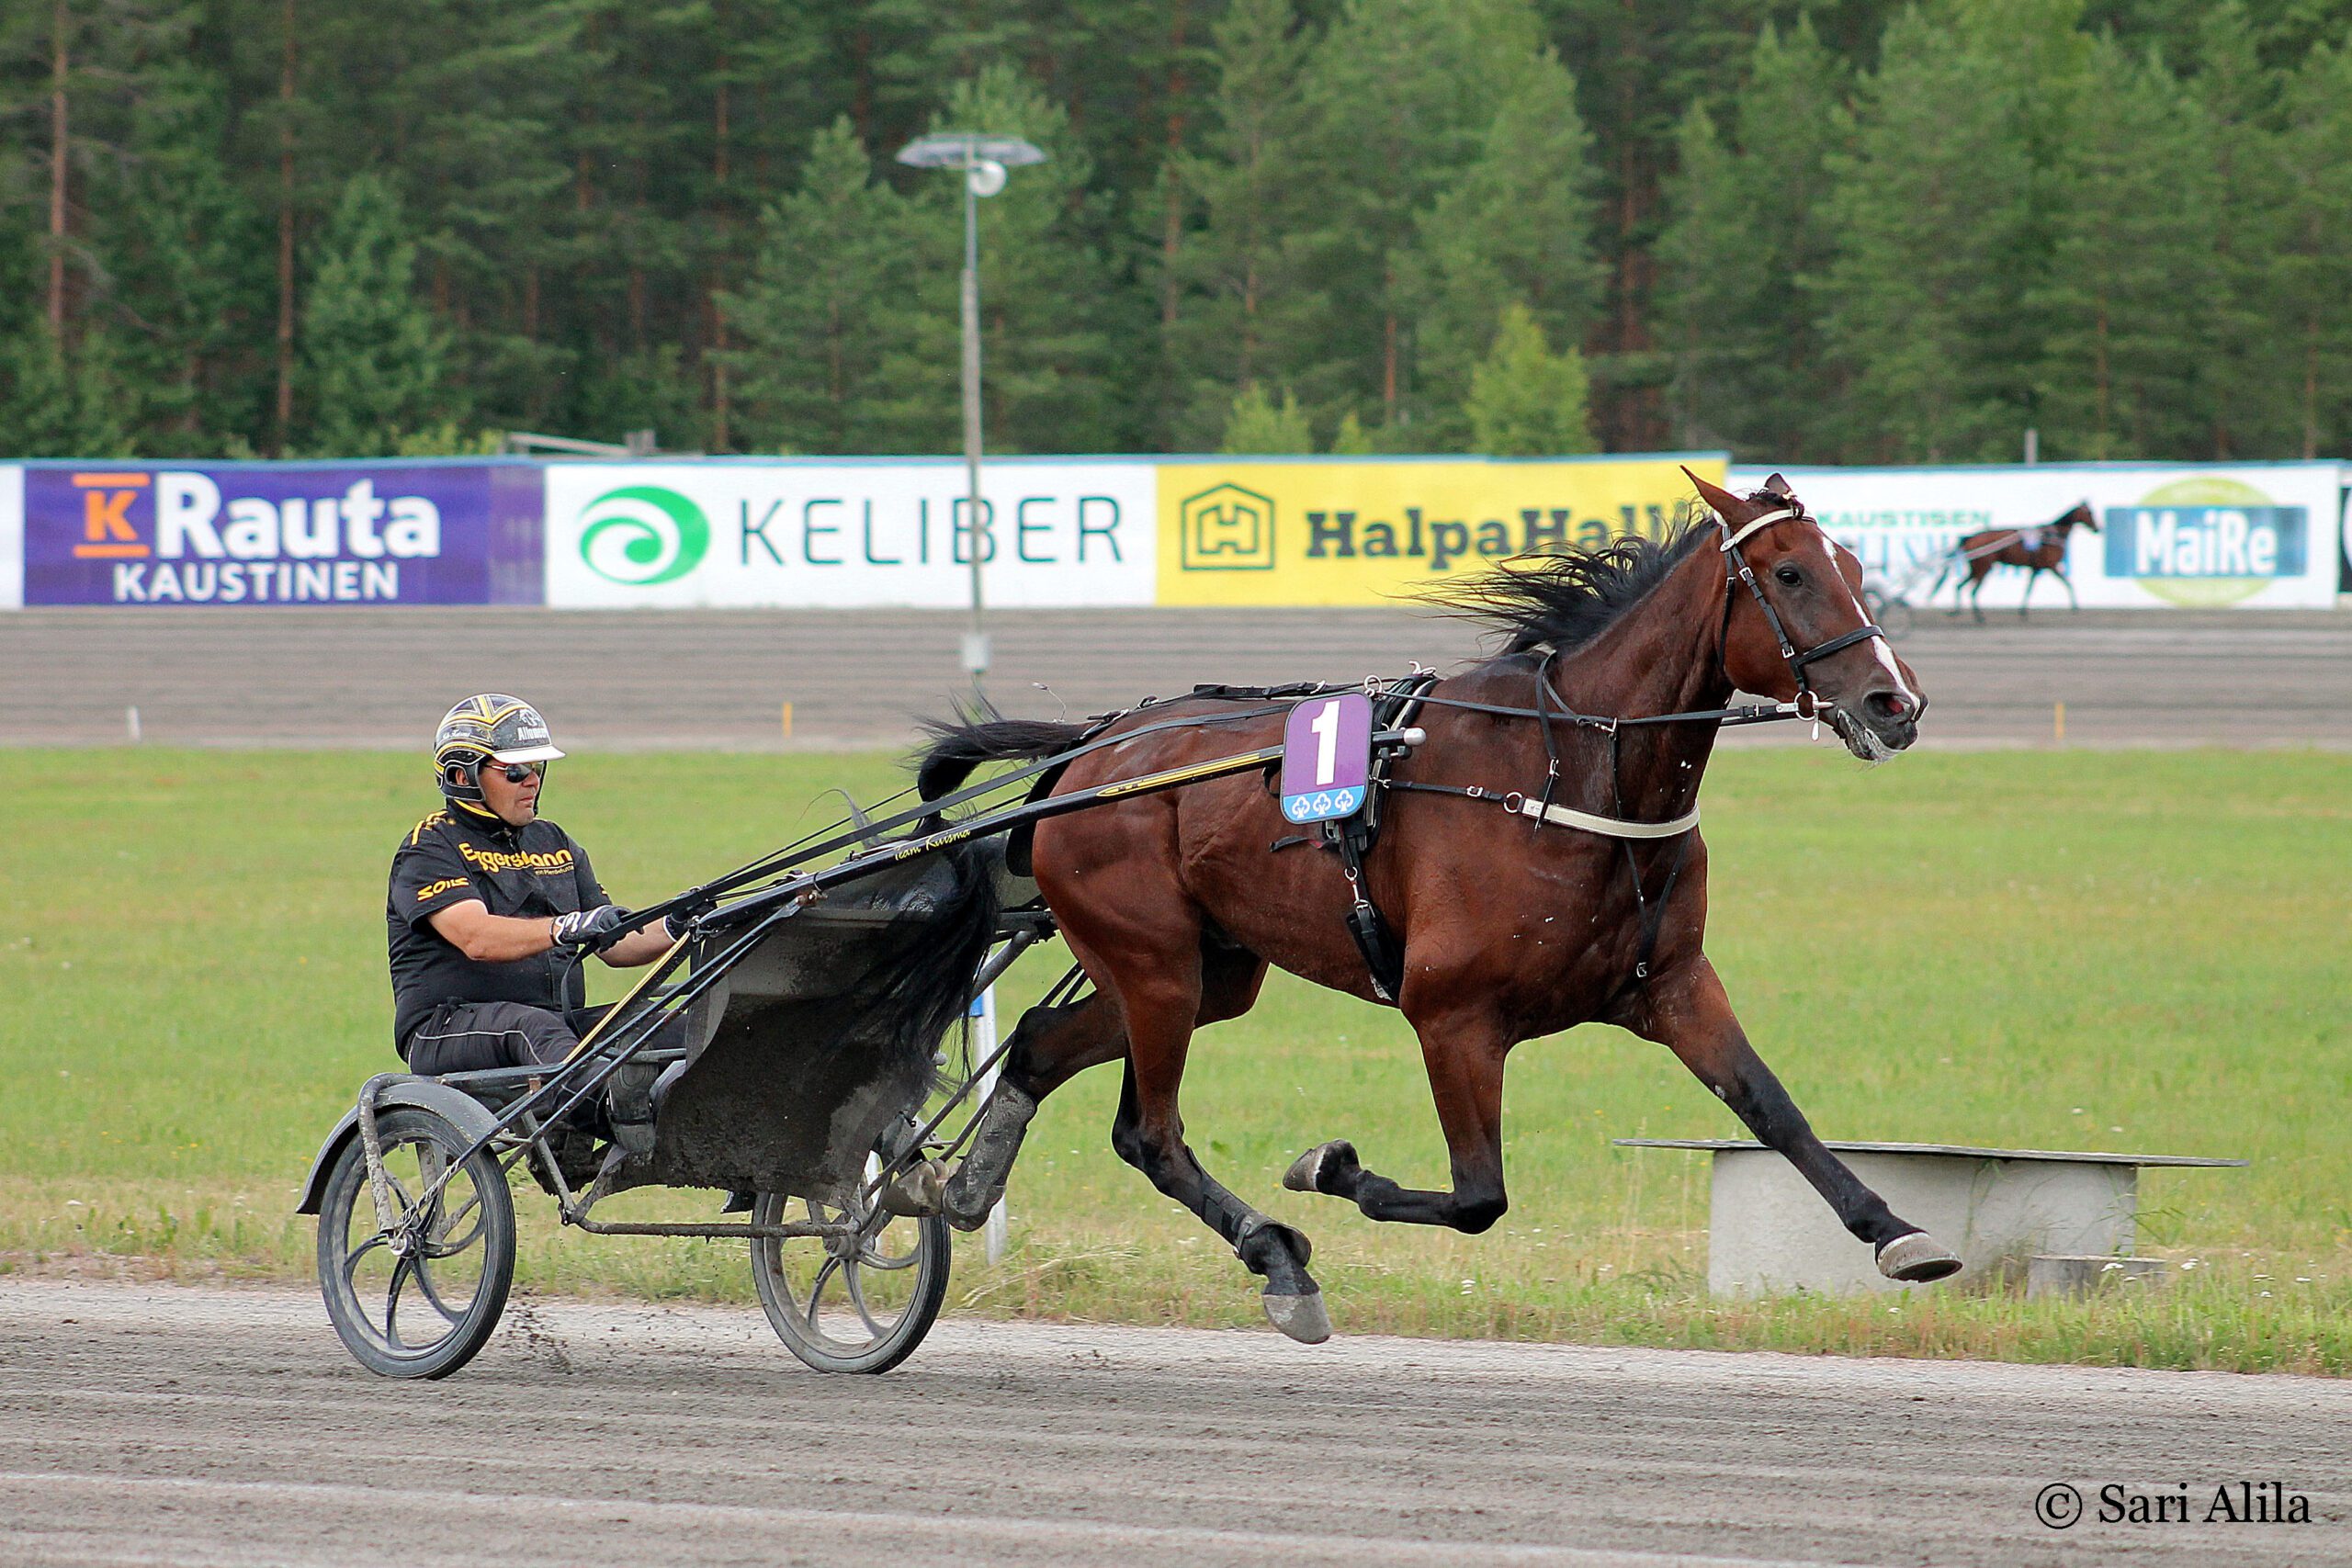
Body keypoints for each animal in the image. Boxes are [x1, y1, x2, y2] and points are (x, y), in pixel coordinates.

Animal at [919, 471, 1958, 1342]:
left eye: (1855, 568)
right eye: (1788, 572)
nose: (1895, 702)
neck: (1568, 772)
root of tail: (1088, 748)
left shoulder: (1672, 984)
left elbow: (1774, 1110)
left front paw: (1896, 1230)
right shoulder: (1451, 1014)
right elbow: (1477, 1197)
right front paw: (1328, 1168)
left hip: (1209, 971)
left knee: (1046, 1048)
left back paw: (961, 1192)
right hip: (1153, 962)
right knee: (1150, 1132)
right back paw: (1277, 1258)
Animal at [1930, 501, 2098, 623]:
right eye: (2090, 513)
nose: (2097, 528)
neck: (2052, 535)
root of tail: (1971, 537)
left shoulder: (2036, 568)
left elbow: (2029, 588)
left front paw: (2023, 611)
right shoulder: (2051, 566)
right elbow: (2068, 583)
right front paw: (2075, 606)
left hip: (1976, 569)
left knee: (1959, 585)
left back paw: (1956, 611)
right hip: (1983, 568)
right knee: (1972, 591)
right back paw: (1979, 617)